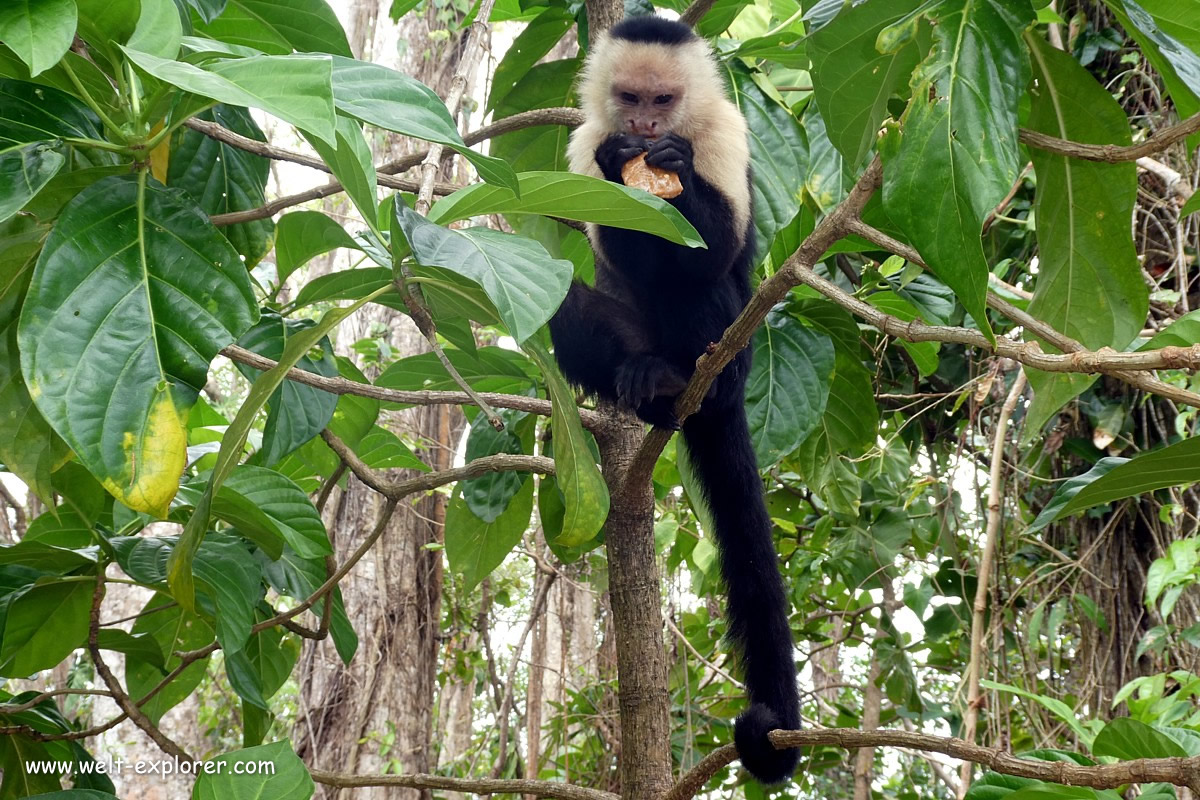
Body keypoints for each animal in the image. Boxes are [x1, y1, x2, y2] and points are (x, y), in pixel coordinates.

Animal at [549, 14, 801, 786]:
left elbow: (714, 249)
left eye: (663, 100)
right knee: (563, 293)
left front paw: (678, 172)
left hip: (736, 350)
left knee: (708, 289)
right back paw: (648, 383)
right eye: (630, 97)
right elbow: (608, 228)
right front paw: (616, 163)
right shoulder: (580, 137)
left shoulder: (725, 126)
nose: (643, 125)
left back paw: (691, 378)